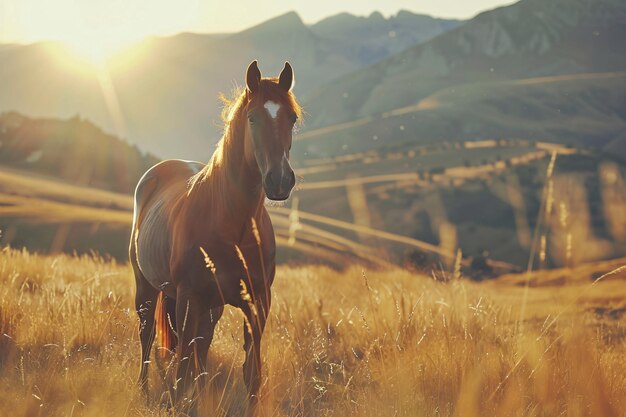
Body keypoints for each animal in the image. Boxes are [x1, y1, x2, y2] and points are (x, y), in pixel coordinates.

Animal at [129, 60, 300, 412]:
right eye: (253, 118)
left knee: (200, 348)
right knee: (147, 337)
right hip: (149, 289)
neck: (233, 226)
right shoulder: (189, 299)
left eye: (292, 118)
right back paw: (143, 392)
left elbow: (252, 375)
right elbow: (181, 371)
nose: (279, 180)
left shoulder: (257, 303)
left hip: (210, 307)